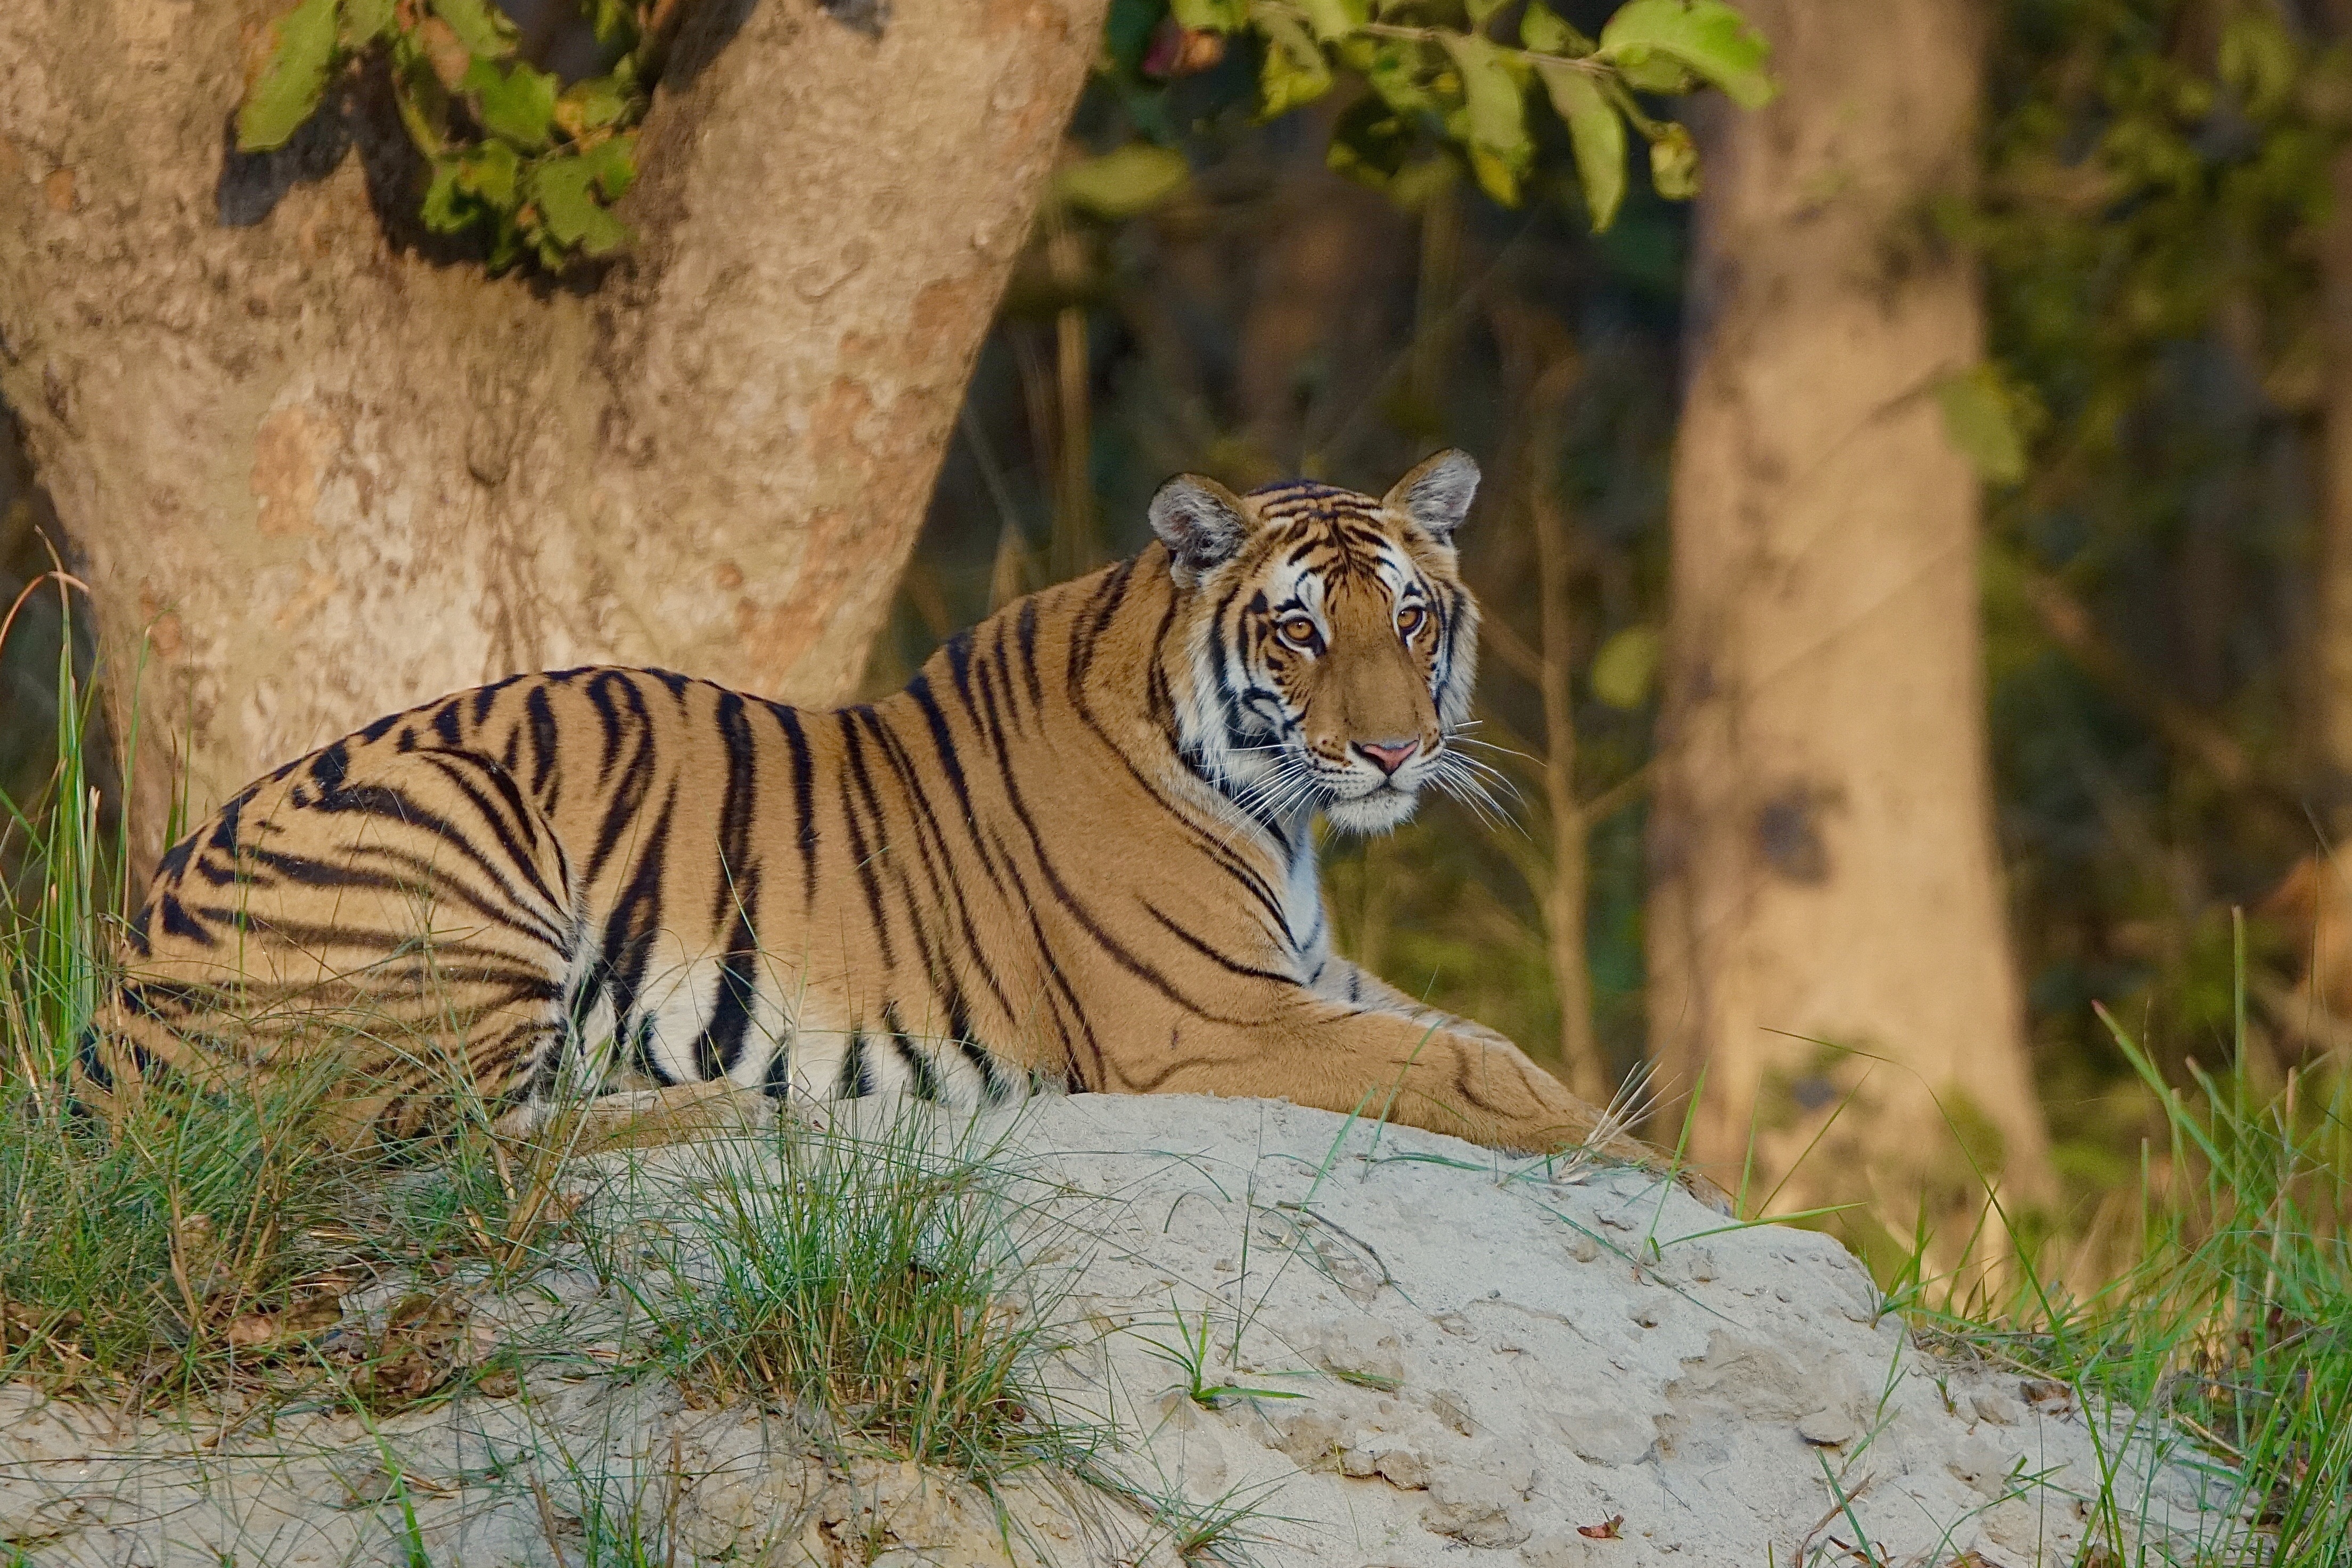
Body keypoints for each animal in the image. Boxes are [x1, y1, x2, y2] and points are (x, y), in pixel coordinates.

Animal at [83, 454, 1665, 1175]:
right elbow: (1477, 1074)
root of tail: (110, 1003)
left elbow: (1489, 1041)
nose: (1398, 750)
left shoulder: (1312, 973)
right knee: (410, 1137)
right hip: (465, 821)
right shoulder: (1212, 1021)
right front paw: (1663, 1168)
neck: (1274, 809)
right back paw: (739, 1105)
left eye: (1412, 618)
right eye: (1300, 633)